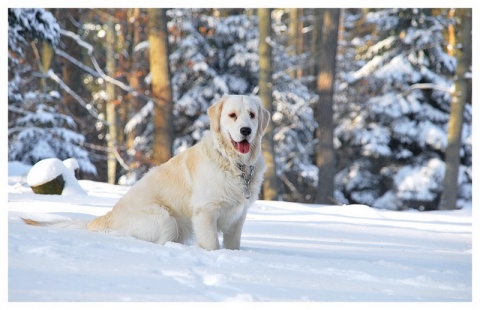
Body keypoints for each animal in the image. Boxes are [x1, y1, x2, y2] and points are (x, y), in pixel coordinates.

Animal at [24, 95, 270, 251]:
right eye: (232, 115)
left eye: (251, 114)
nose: (246, 131)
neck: (234, 163)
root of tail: (106, 217)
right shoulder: (205, 212)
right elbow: (211, 246)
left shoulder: (238, 217)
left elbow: (233, 244)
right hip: (166, 218)